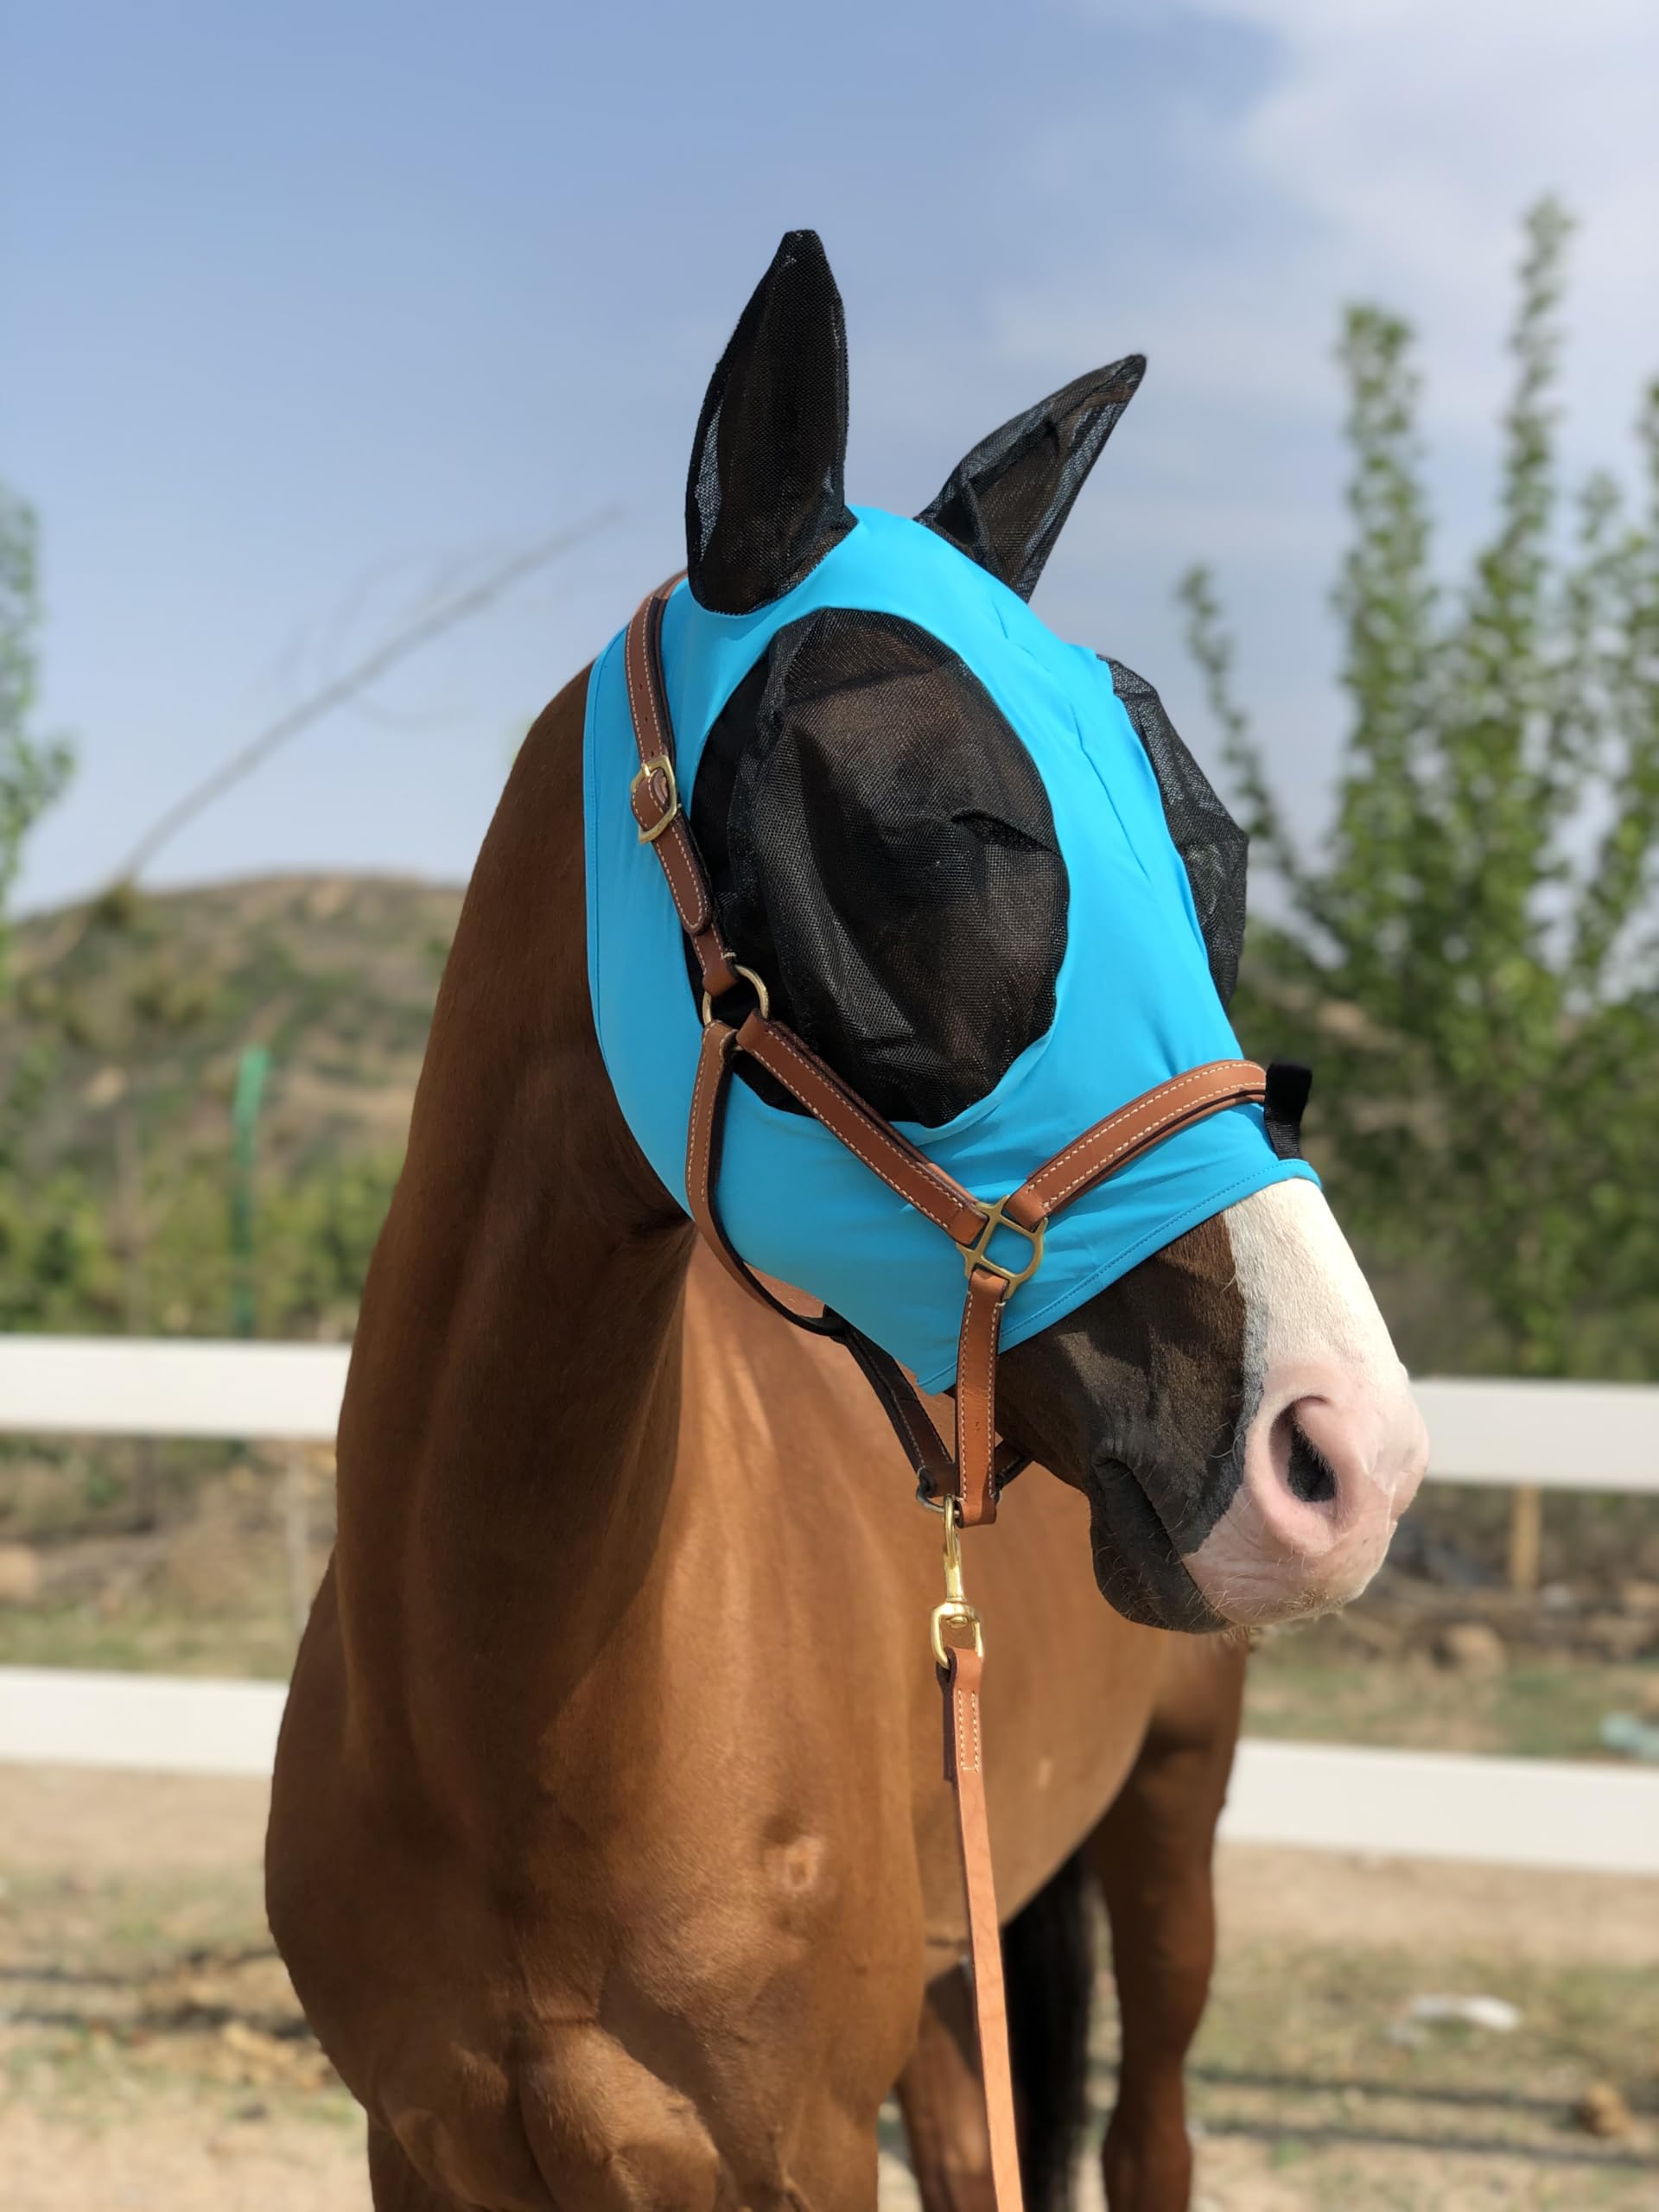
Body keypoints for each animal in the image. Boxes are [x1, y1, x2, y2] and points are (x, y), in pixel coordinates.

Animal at [267, 231, 1426, 2212]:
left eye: (1214, 851)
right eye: (938, 825)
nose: (1343, 1452)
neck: (516, 1716)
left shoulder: (798, 2153)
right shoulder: (419, 2147)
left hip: (1167, 1836)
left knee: (1152, 2128)